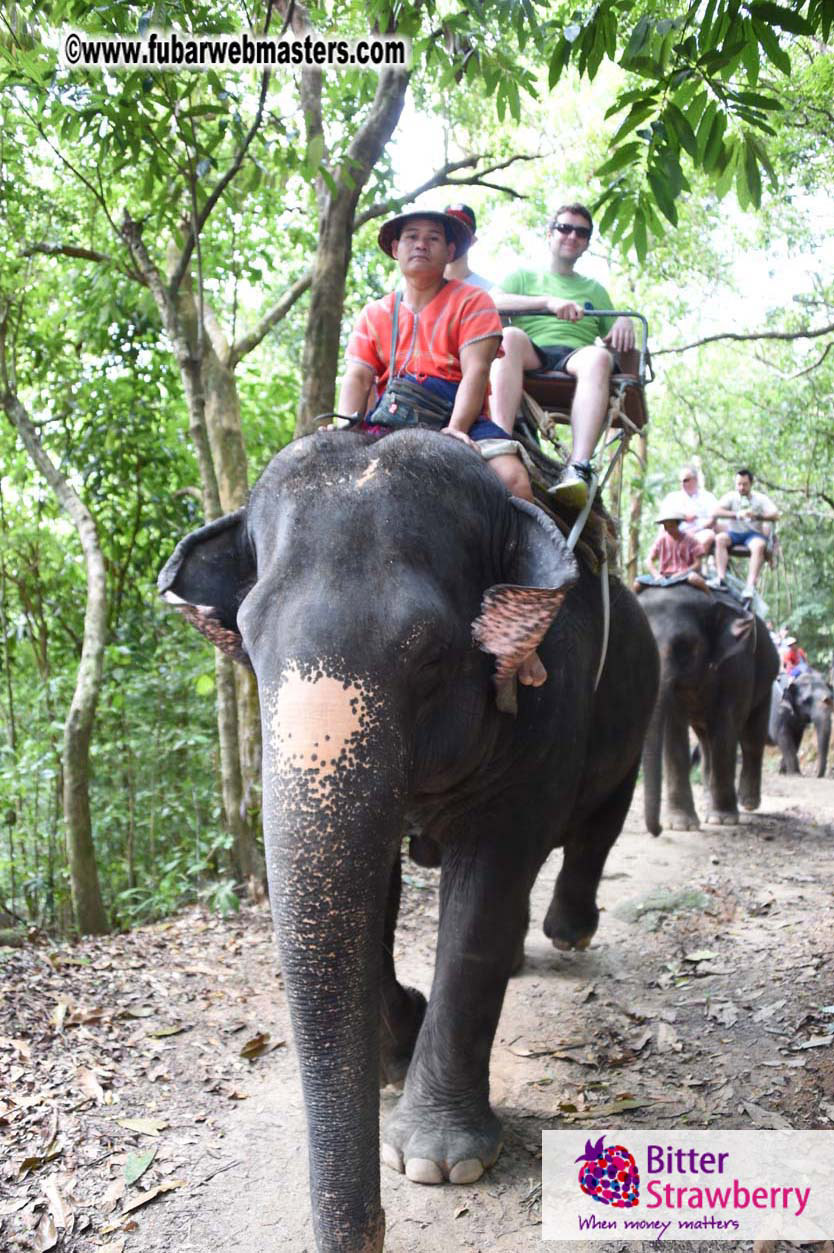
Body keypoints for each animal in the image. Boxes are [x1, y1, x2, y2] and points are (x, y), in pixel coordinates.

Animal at [158, 428, 659, 1253]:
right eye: (250, 647)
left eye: (429, 654)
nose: (370, 1234)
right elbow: (368, 888)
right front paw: (395, 1050)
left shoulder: (549, 696)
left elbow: (483, 894)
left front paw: (438, 1161)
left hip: (634, 707)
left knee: (598, 823)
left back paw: (568, 934)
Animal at [640, 584, 779, 834]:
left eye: (684, 646)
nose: (657, 830)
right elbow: (673, 731)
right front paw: (681, 825)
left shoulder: (737, 668)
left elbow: (726, 729)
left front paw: (722, 819)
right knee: (706, 743)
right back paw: (707, 799)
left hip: (766, 683)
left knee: (752, 739)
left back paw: (748, 803)